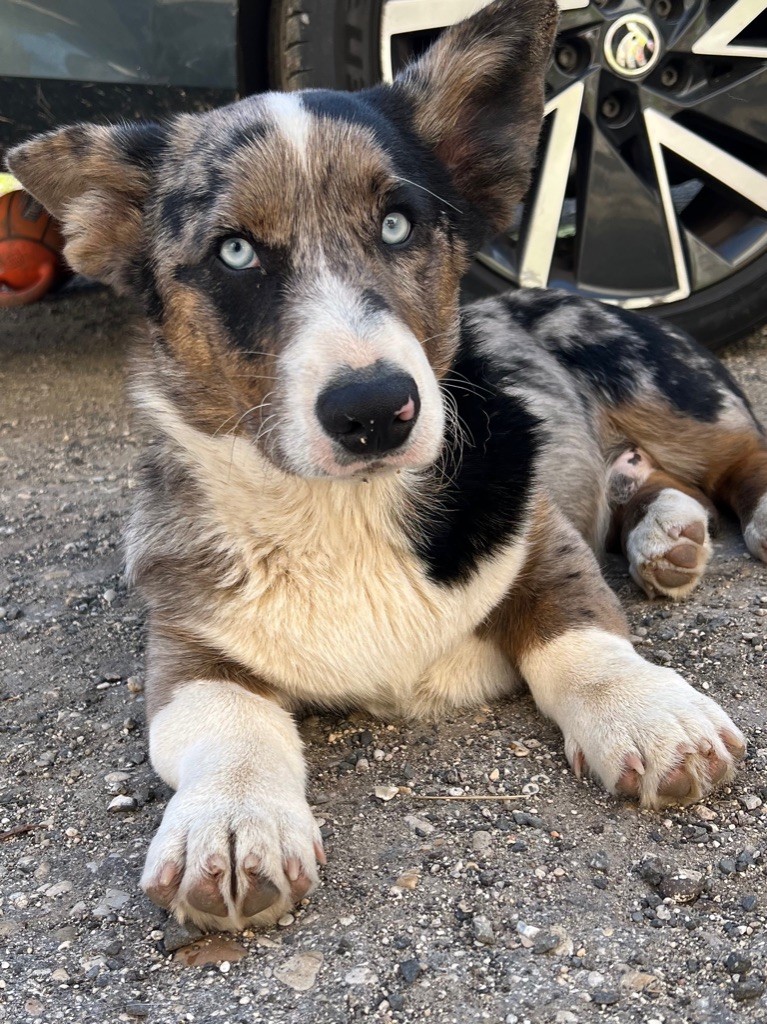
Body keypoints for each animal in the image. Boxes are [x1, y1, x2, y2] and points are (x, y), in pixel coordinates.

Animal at [5, 0, 761, 933]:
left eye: (397, 222)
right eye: (234, 253)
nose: (374, 409)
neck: (339, 512)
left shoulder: (539, 534)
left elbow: (579, 635)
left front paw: (651, 717)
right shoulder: (185, 645)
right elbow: (226, 723)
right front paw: (230, 825)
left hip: (662, 388)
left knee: (733, 458)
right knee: (651, 483)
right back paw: (668, 539)